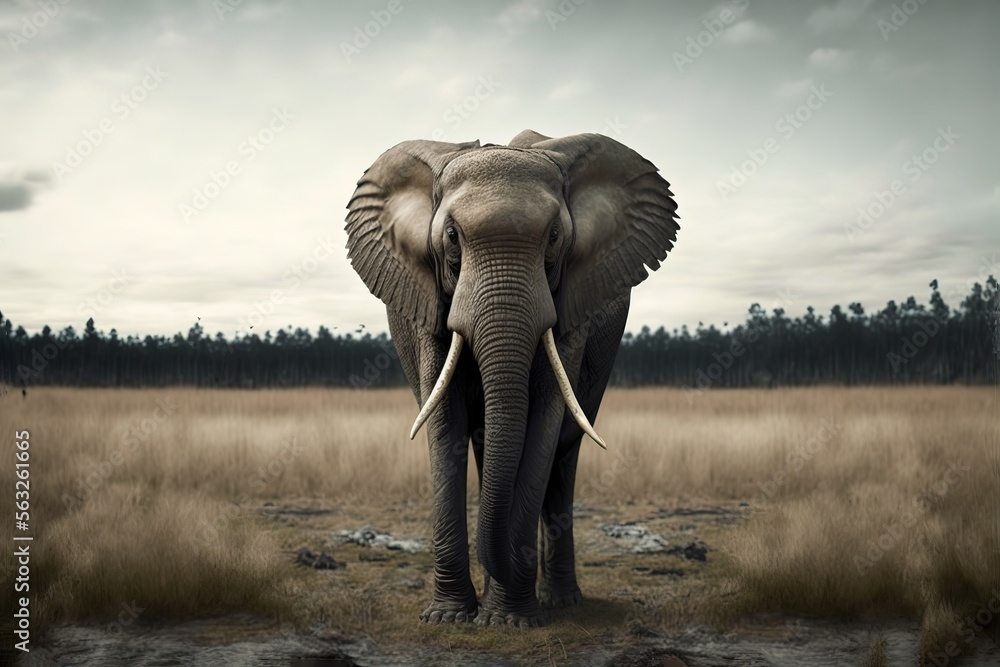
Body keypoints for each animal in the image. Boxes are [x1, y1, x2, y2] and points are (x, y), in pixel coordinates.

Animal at [344, 130, 680, 627]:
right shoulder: (429, 303)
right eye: (451, 236)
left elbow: (544, 418)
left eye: (555, 237)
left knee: (564, 454)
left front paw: (511, 620)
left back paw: (559, 600)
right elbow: (445, 419)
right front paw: (449, 618)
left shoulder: (572, 310)